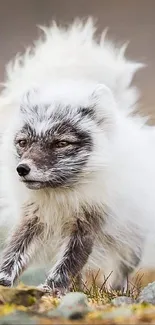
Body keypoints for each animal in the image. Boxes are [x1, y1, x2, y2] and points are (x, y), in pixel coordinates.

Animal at [0, 16, 154, 292]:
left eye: (61, 143)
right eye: (23, 142)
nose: (22, 169)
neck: (60, 196)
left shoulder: (87, 224)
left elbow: (68, 263)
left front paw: (51, 289)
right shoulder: (32, 218)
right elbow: (13, 253)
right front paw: (4, 281)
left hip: (129, 238)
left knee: (122, 267)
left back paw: (115, 290)